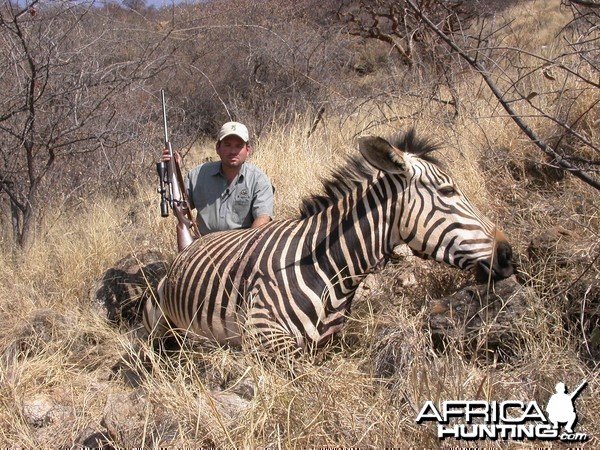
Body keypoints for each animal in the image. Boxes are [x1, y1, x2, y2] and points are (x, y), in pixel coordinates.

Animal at [144, 130, 516, 352]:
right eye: (448, 191)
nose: (508, 254)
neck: (328, 267)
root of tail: (185, 250)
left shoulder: (326, 344)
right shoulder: (262, 333)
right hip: (157, 318)